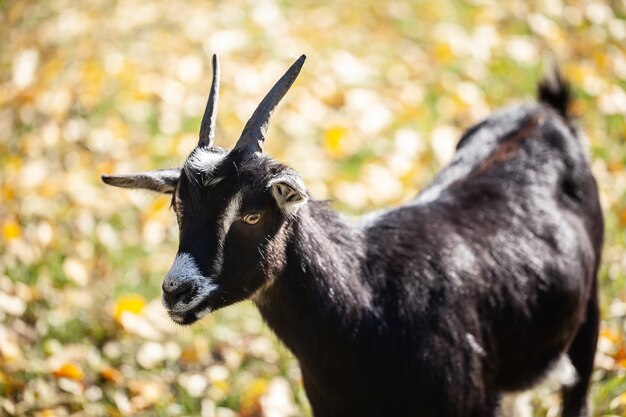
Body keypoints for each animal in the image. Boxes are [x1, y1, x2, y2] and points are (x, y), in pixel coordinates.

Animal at [101, 56, 600, 416]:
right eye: (178, 207)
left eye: (252, 215)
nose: (176, 291)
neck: (370, 303)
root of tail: (547, 113)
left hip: (586, 325)